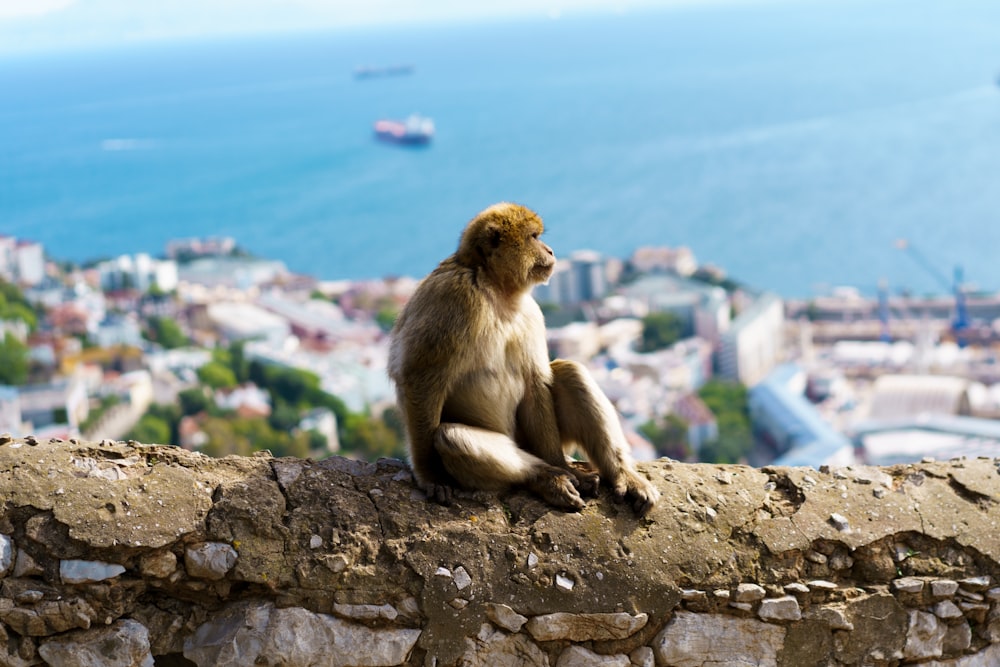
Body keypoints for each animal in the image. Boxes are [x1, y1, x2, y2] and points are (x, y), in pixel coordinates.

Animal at [386, 204, 660, 516]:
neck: (495, 287)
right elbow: (420, 377)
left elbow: (534, 382)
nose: (550, 250)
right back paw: (546, 477)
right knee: (451, 437)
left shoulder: (531, 313)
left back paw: (611, 474)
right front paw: (430, 474)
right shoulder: (453, 297)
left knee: (570, 371)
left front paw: (564, 467)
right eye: (533, 237)